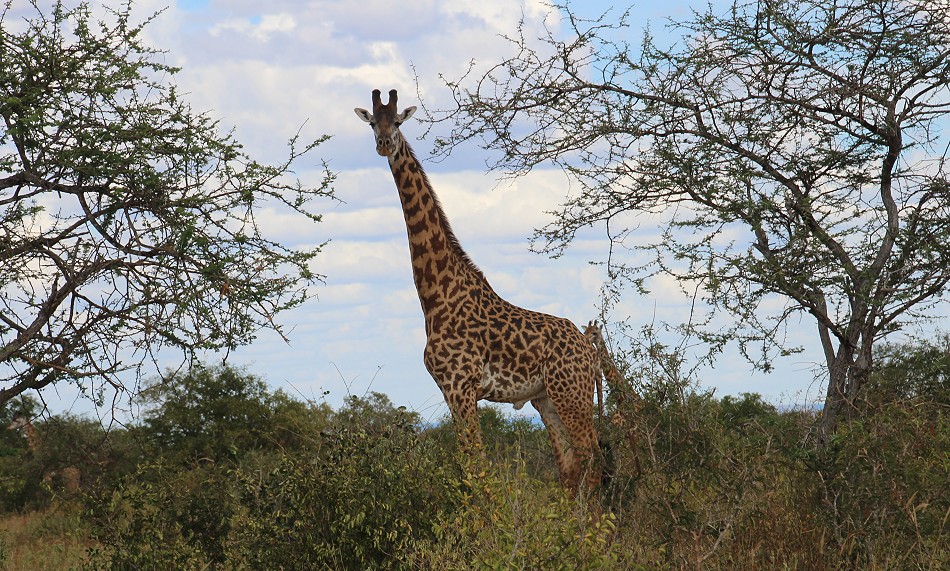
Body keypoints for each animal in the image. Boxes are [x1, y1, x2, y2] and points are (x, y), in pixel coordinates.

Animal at [356, 89, 604, 492]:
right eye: (373, 123)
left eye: (398, 122)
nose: (384, 143)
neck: (437, 296)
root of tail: (590, 350)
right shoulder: (449, 390)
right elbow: (468, 469)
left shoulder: (462, 386)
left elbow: (476, 470)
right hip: (547, 399)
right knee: (570, 468)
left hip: (573, 395)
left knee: (594, 460)